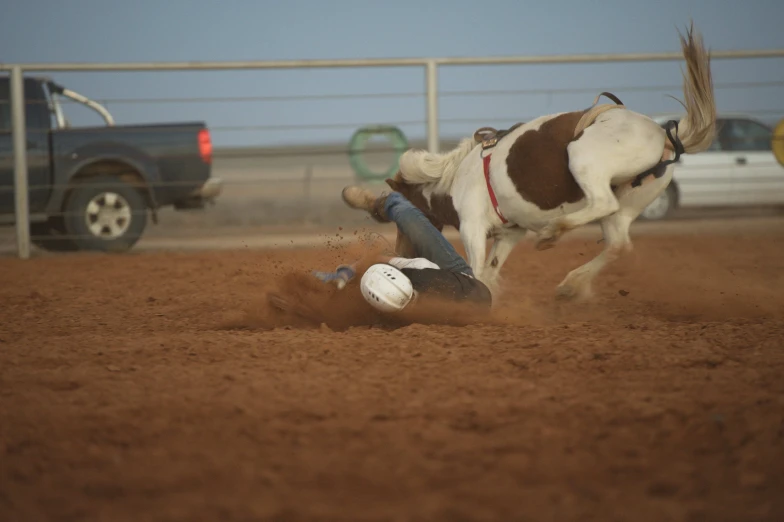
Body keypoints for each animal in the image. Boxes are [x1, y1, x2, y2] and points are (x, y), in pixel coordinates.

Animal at [382, 22, 712, 300]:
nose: (399, 251)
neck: (456, 177)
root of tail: (660, 132)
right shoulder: (510, 234)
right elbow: (490, 269)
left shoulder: (472, 225)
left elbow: (477, 269)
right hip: (629, 202)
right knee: (618, 243)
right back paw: (571, 284)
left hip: (583, 158)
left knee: (602, 203)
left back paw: (553, 232)